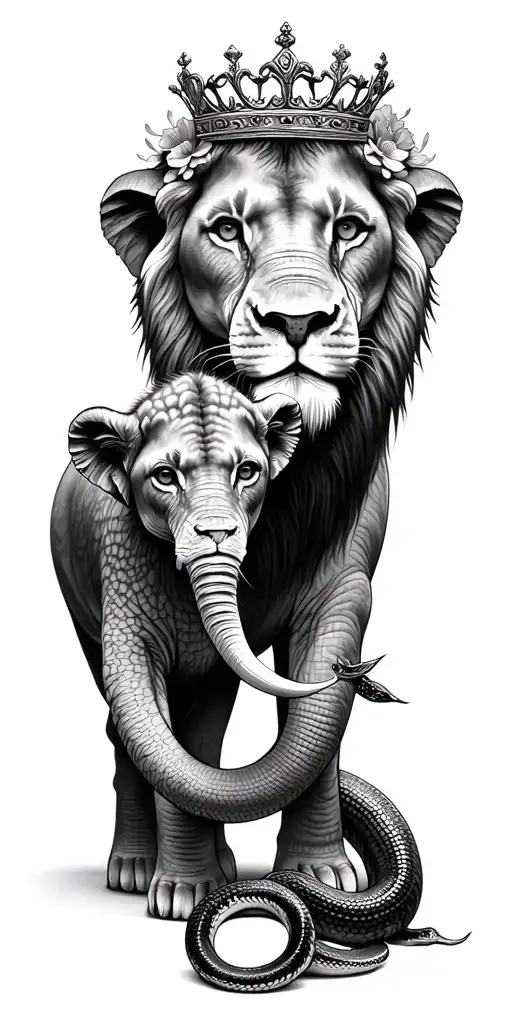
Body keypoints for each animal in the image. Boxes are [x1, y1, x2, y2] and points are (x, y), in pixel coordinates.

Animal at [97, 134, 462, 910]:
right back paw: (140, 867)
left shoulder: (345, 587)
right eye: (227, 229)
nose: (297, 322)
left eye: (350, 227)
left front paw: (320, 876)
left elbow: (316, 710)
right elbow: (170, 727)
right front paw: (186, 890)